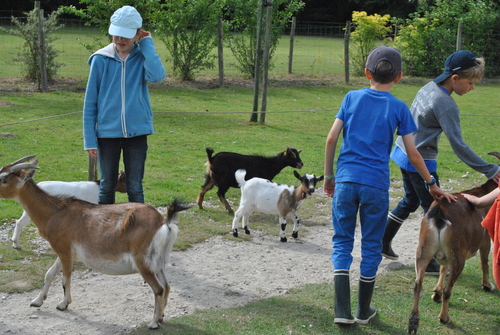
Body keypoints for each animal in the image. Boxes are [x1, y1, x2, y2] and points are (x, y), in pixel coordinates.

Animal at [408, 177, 498, 334]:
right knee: (448, 289)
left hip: (424, 249)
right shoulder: (485, 238)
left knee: (418, 284)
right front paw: (487, 285)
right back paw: (445, 317)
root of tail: (439, 212)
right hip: (458, 254)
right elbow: (484, 262)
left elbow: (443, 268)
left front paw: (436, 292)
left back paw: (413, 322)